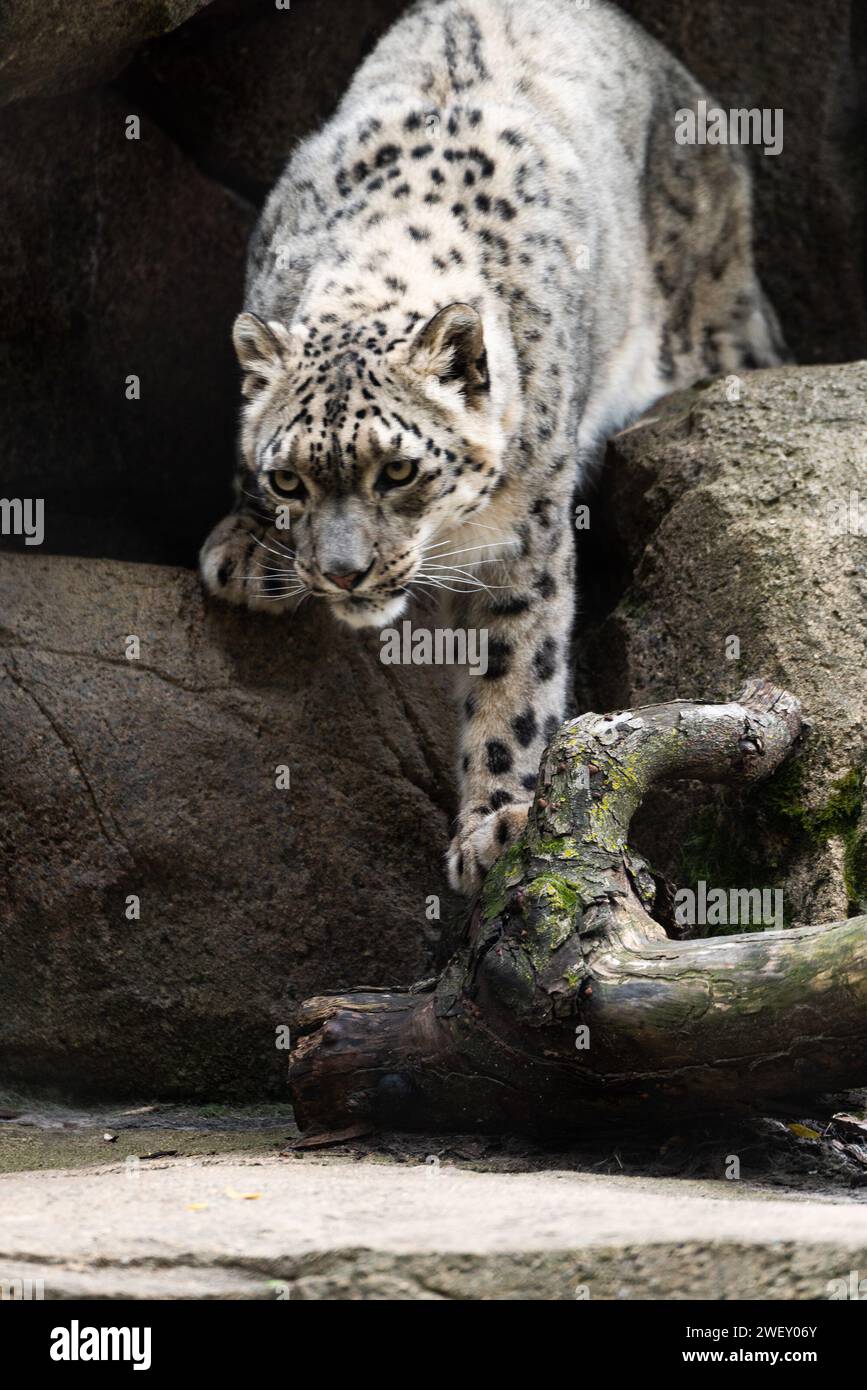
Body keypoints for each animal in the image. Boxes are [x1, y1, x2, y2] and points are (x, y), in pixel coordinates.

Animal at [201, 0, 783, 889]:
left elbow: (516, 673)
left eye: (398, 470)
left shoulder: (525, 537)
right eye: (290, 480)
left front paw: (497, 825)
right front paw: (249, 552)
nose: (343, 573)